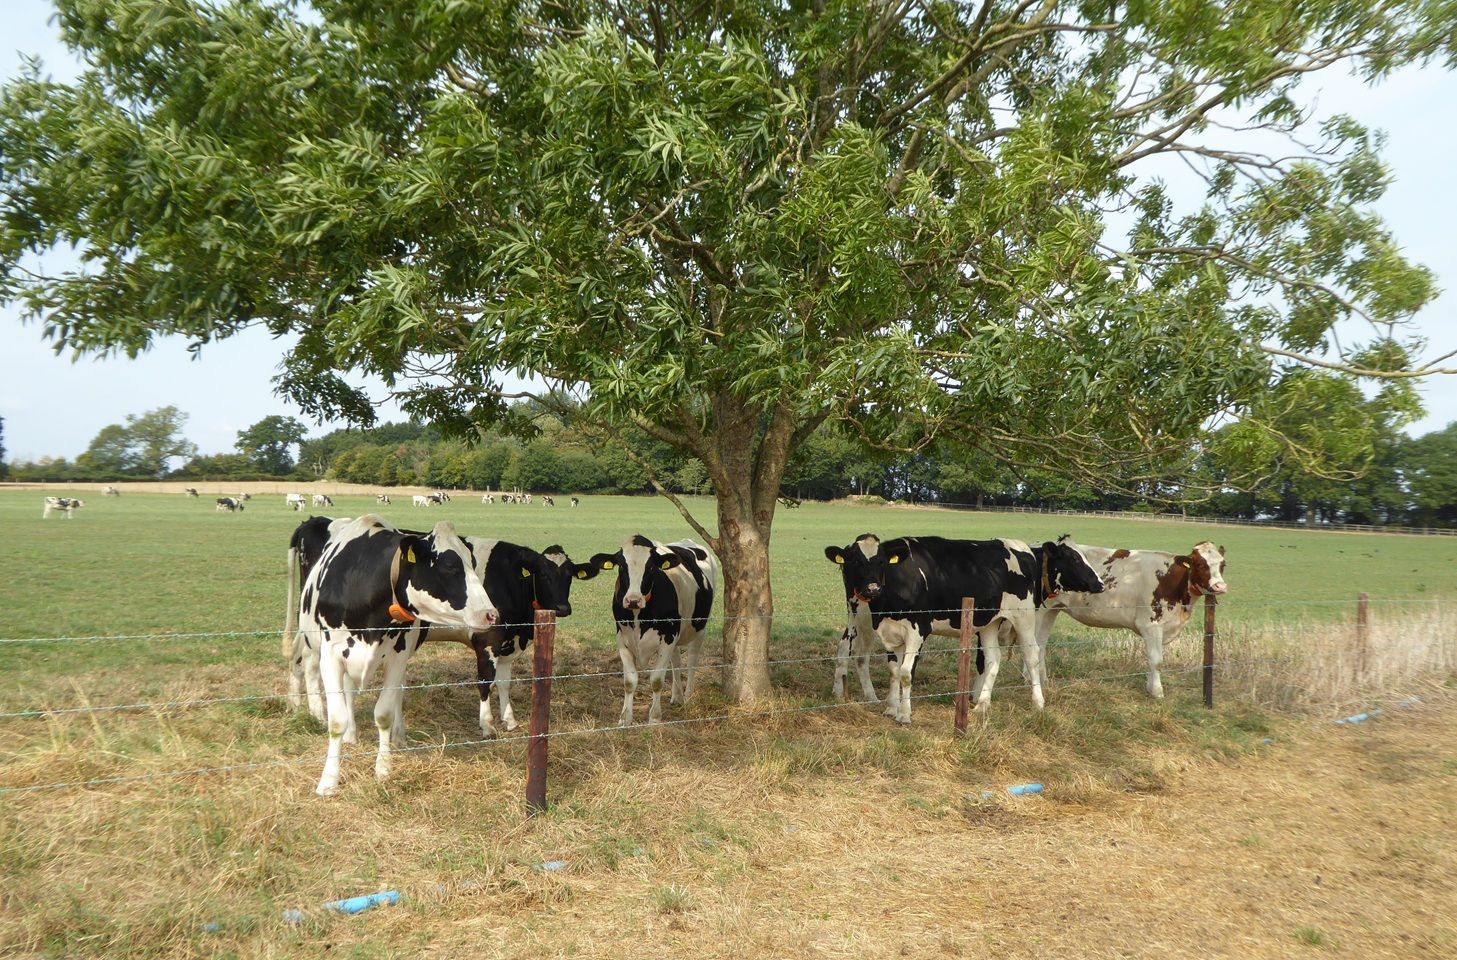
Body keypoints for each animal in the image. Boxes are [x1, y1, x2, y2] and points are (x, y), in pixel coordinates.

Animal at [294, 515, 500, 795]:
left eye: (472, 562)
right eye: (450, 566)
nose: (491, 614)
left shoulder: (397, 658)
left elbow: (384, 714)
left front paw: (383, 768)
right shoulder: (331, 656)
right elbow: (336, 720)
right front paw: (328, 780)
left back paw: (397, 737)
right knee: (336, 685)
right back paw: (346, 734)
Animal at [584, 536, 718, 726]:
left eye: (651, 567)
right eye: (622, 566)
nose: (633, 600)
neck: (639, 616)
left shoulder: (668, 636)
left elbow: (656, 680)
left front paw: (654, 718)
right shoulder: (622, 638)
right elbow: (629, 681)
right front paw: (625, 718)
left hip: (699, 628)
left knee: (692, 660)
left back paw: (688, 696)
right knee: (676, 661)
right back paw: (677, 696)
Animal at [824, 534, 1104, 723]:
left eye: (882, 561)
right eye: (856, 561)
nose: (1100, 583)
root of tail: (1018, 546)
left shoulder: (918, 630)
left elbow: (905, 673)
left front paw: (904, 714)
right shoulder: (888, 629)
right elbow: (894, 671)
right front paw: (892, 708)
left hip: (1023, 617)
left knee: (1031, 655)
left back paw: (1037, 703)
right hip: (989, 621)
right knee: (994, 658)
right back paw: (982, 706)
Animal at [1035, 540, 1228, 700]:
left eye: (1223, 564)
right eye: (1200, 564)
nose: (1220, 586)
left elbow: (1152, 660)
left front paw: (1150, 687)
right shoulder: (1150, 624)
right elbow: (1156, 660)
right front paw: (1157, 692)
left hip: (1052, 610)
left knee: (1041, 645)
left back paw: (1044, 679)